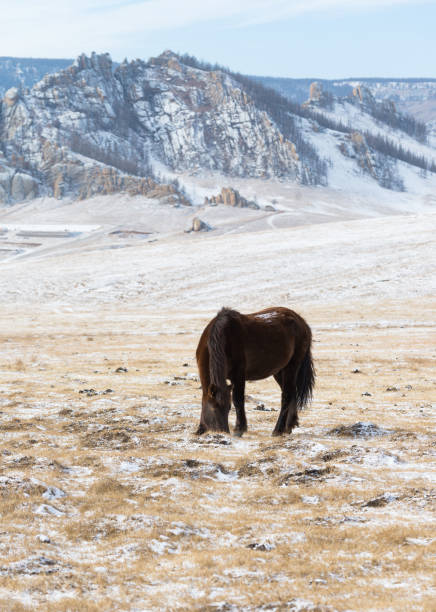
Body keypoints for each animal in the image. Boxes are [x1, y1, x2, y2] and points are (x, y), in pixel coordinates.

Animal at [196, 306, 316, 436]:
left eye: (228, 408)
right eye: (214, 408)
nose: (223, 432)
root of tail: (302, 322)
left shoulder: (238, 374)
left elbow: (238, 400)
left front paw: (239, 429)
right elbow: (204, 398)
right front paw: (200, 429)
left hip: (292, 367)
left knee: (287, 396)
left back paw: (278, 430)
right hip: (279, 371)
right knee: (292, 393)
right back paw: (289, 427)